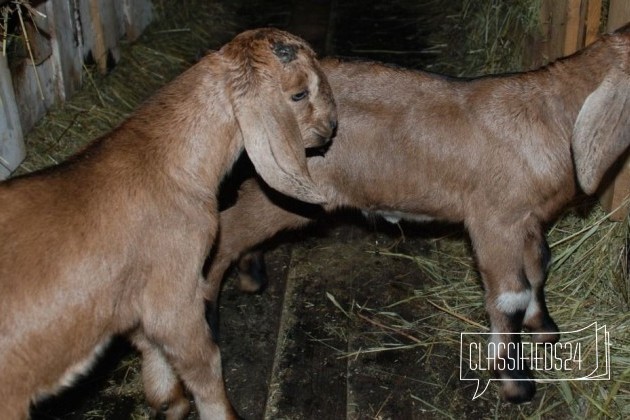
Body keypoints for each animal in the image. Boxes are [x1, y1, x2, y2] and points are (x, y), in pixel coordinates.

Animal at [0, 27, 340, 418]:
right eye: (299, 93)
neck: (165, 161)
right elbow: (204, 364)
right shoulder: (175, 291)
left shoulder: (135, 303)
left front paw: (169, 403)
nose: (331, 127)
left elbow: (153, 353)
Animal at [198, 27, 630, 406]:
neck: (553, 116)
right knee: (225, 235)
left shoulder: (528, 220)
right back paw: (207, 317)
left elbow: (540, 266)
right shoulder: (496, 220)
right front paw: (516, 383)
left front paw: (544, 329)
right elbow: (511, 295)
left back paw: (252, 273)